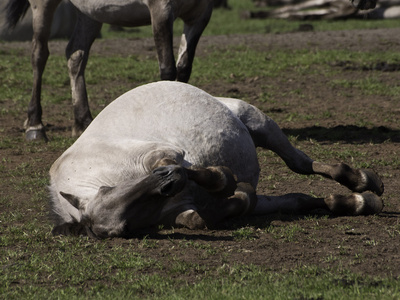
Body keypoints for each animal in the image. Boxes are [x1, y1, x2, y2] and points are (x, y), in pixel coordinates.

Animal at [4, 0, 216, 141]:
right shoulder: (161, 11)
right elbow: (168, 71)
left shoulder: (200, 15)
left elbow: (184, 69)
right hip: (43, 5)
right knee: (39, 55)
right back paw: (35, 125)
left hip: (90, 12)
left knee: (75, 55)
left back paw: (84, 123)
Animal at [50, 81, 384, 239]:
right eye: (124, 229)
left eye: (106, 189)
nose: (167, 185)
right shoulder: (181, 208)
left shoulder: (162, 156)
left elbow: (210, 175)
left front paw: (224, 183)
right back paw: (360, 199)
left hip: (259, 122)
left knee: (300, 163)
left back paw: (362, 180)